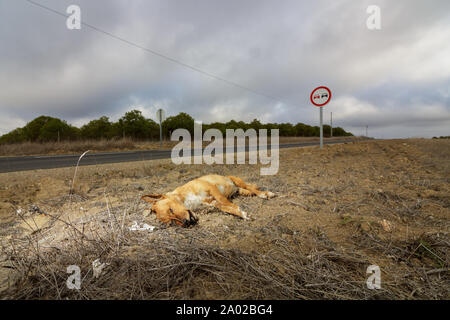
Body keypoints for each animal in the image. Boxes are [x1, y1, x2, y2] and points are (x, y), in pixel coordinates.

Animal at [142, 174, 274, 226]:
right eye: (172, 222)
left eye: (171, 209)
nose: (186, 223)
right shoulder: (213, 203)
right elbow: (227, 208)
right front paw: (241, 214)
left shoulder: (212, 189)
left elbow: (227, 203)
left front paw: (239, 211)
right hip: (241, 191)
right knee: (251, 190)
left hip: (237, 181)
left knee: (252, 188)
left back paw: (266, 194)